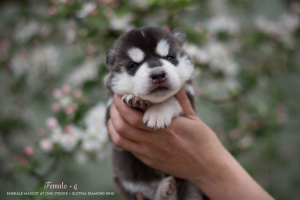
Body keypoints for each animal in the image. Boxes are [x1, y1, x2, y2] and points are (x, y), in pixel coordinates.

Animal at [104, 27, 205, 200]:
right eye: (134, 65)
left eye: (170, 57)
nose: (158, 75)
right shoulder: (111, 118)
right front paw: (134, 99)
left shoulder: (188, 99)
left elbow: (171, 99)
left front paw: (157, 113)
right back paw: (165, 190)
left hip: (192, 187)